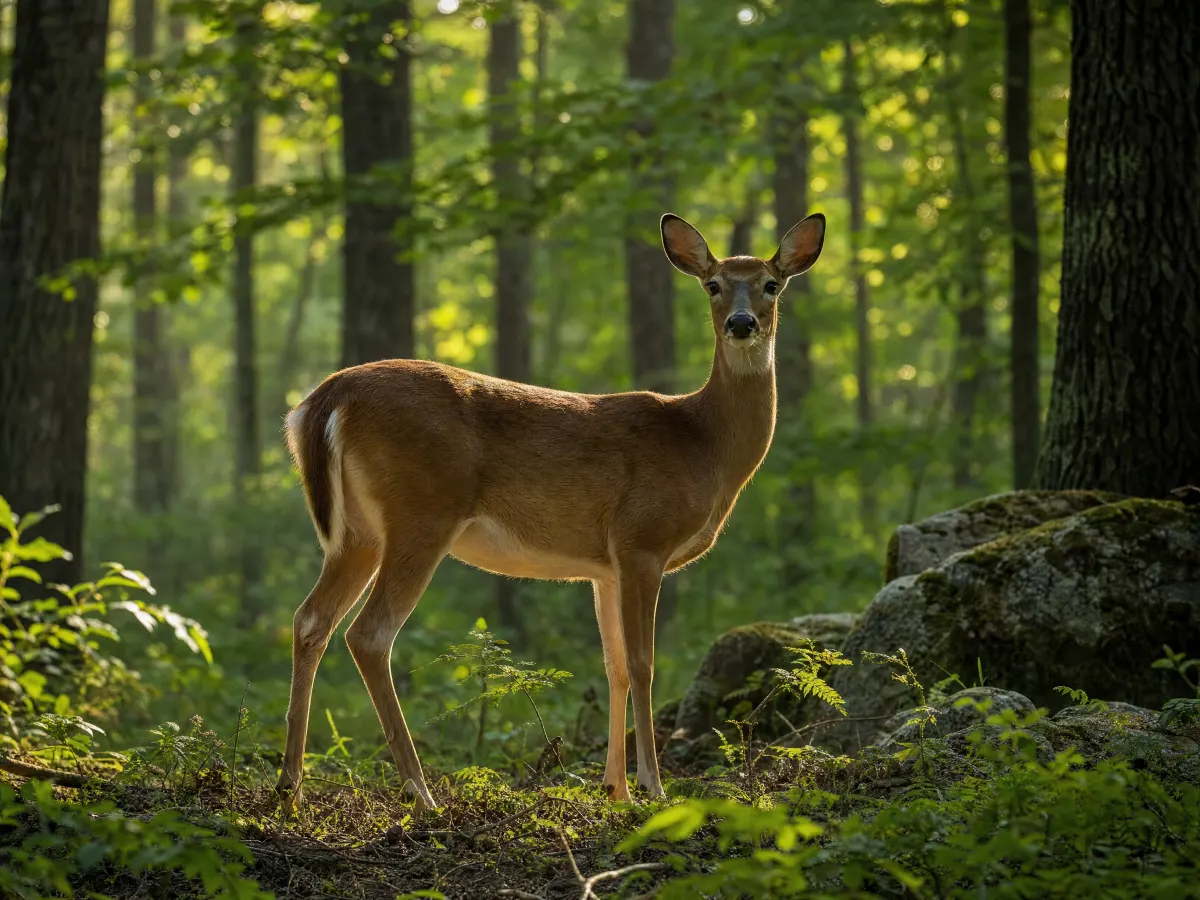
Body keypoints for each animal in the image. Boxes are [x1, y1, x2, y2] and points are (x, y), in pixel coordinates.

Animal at [275, 211, 827, 814]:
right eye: (713, 285)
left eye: (772, 284)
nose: (742, 323)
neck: (703, 443)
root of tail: (326, 397)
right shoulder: (641, 540)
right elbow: (643, 663)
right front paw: (653, 788)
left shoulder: (604, 567)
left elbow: (614, 668)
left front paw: (615, 791)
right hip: (420, 514)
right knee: (369, 635)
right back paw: (421, 793)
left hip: (358, 533)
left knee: (310, 620)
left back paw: (290, 787)